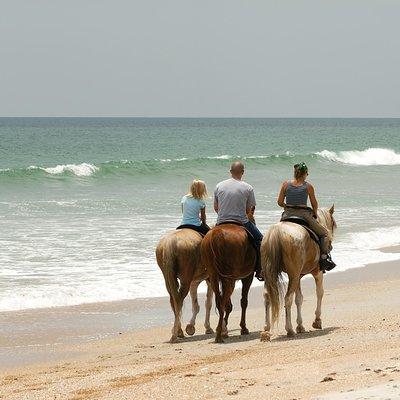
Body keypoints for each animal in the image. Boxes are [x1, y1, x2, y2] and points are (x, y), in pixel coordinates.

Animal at [260, 206, 336, 340]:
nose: (331, 245)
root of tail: (276, 232)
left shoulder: (298, 277)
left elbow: (299, 299)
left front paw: (300, 326)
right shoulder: (317, 273)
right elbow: (319, 293)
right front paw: (317, 320)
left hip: (270, 275)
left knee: (267, 296)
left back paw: (266, 328)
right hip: (293, 275)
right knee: (287, 299)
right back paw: (289, 329)